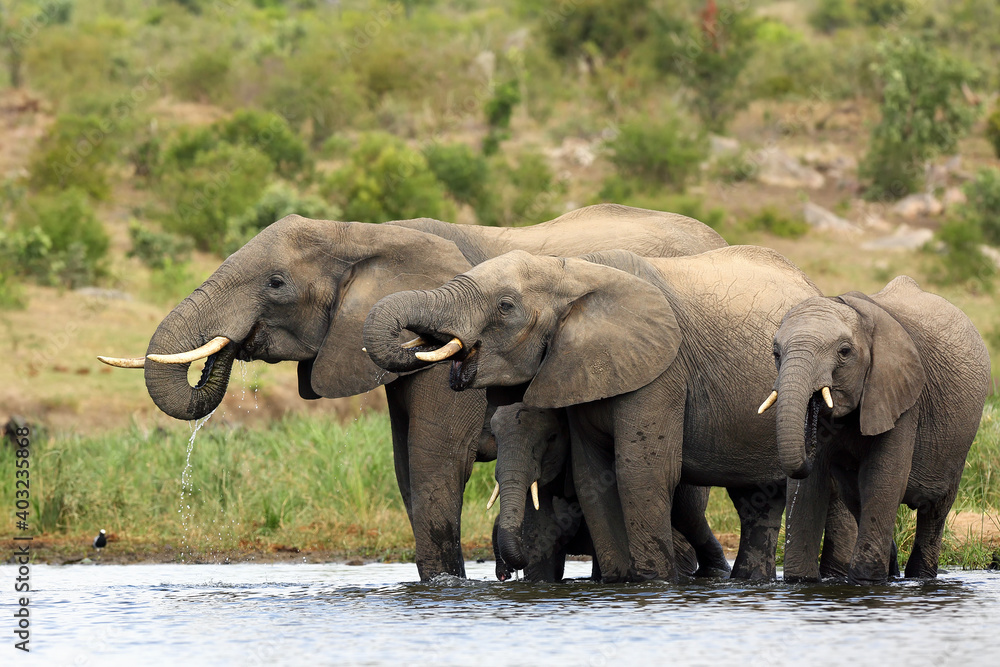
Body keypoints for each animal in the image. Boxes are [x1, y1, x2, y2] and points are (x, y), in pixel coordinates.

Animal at [763, 276, 990, 584]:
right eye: (776, 354)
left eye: (844, 352)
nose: (808, 441)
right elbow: (808, 487)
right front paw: (801, 582)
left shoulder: (901, 394)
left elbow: (883, 476)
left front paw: (866, 582)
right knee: (856, 498)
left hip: (958, 445)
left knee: (934, 510)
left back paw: (919, 577)